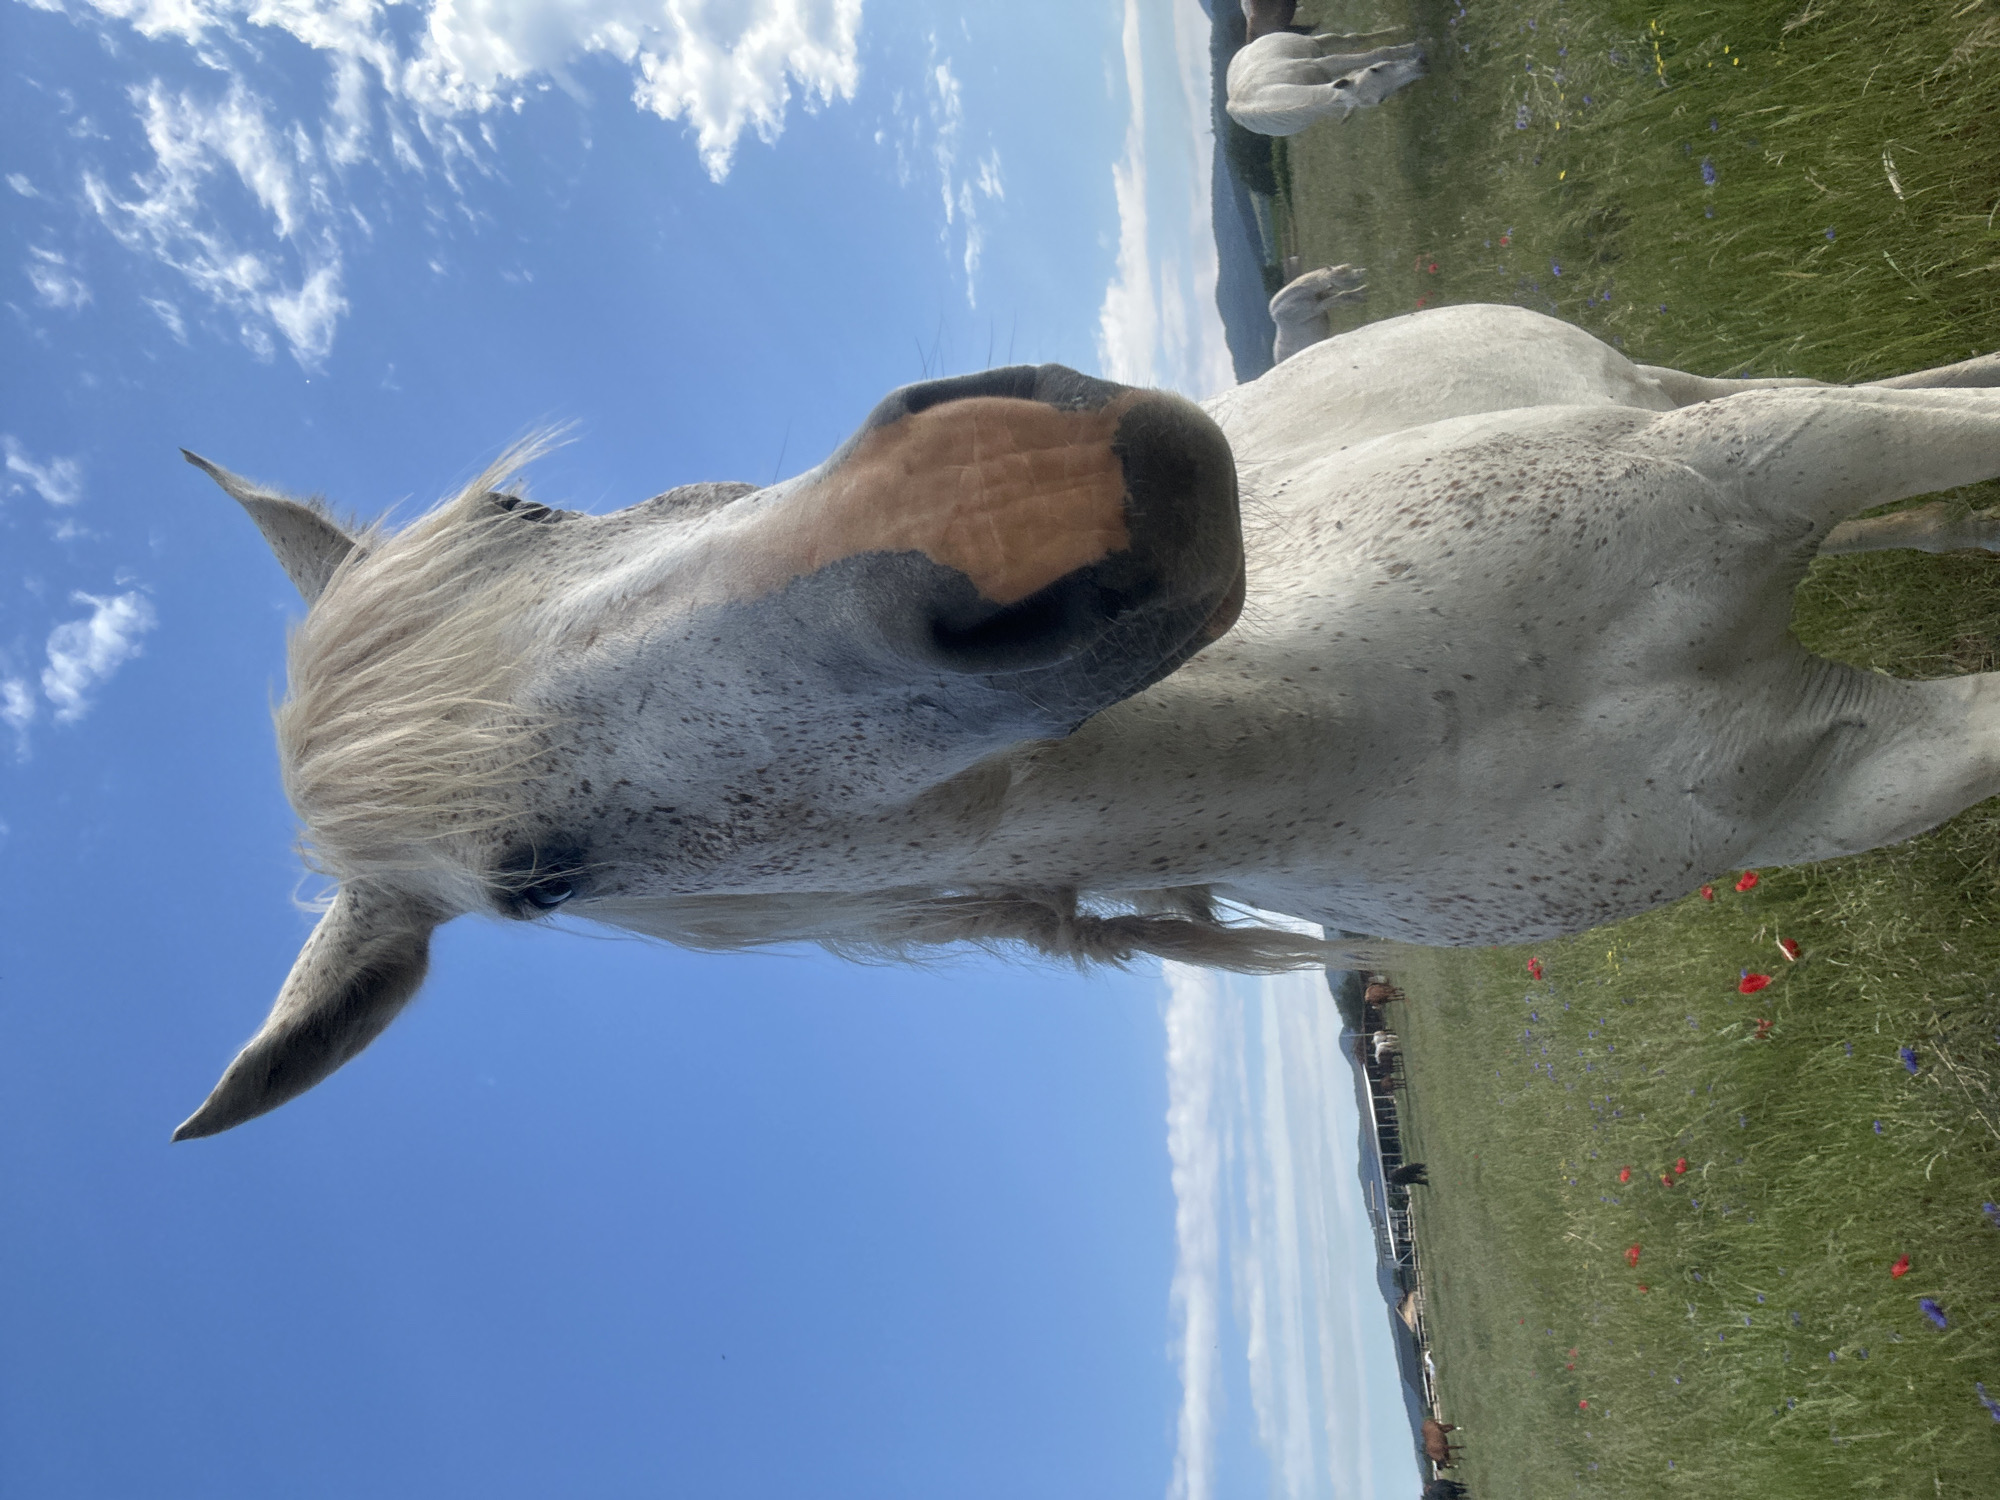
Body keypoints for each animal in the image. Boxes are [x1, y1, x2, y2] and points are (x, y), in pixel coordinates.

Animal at [175, 302, 2000, 1138]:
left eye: (530, 511)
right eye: (537, 881)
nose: (1001, 503)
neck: (1412, 707)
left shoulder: (1775, 464)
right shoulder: (1855, 774)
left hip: (1697, 409)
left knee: (1903, 400)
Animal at [1226, 31, 1427, 137]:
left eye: (1374, 70)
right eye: (1381, 99)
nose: (1421, 66)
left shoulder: (1326, 63)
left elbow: (1379, 52)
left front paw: (1417, 44)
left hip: (1313, 42)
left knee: (1351, 39)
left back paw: (1396, 29)